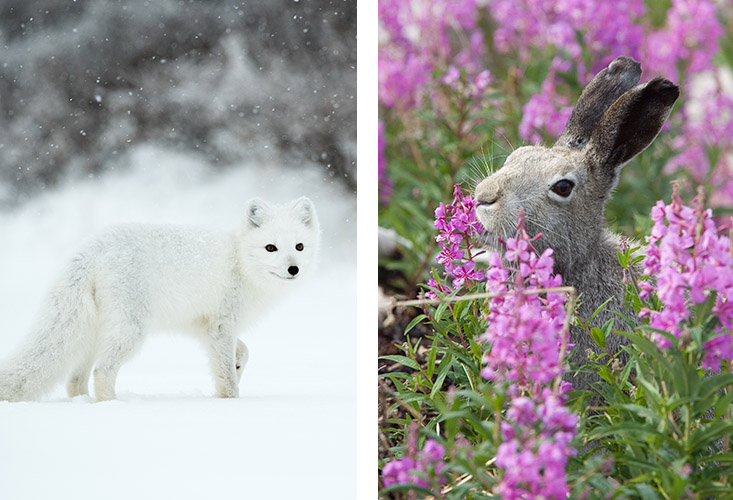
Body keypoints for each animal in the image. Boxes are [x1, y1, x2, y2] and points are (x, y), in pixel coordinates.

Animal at [0, 196, 320, 401]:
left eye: (299, 246)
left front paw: (238, 366)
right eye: (270, 248)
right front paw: (231, 400)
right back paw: (111, 405)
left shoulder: (204, 325)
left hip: (93, 332)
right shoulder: (220, 326)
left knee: (75, 380)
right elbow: (227, 375)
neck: (240, 261)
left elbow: (243, 351)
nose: (293, 269)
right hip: (131, 330)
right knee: (102, 370)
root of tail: (91, 247)